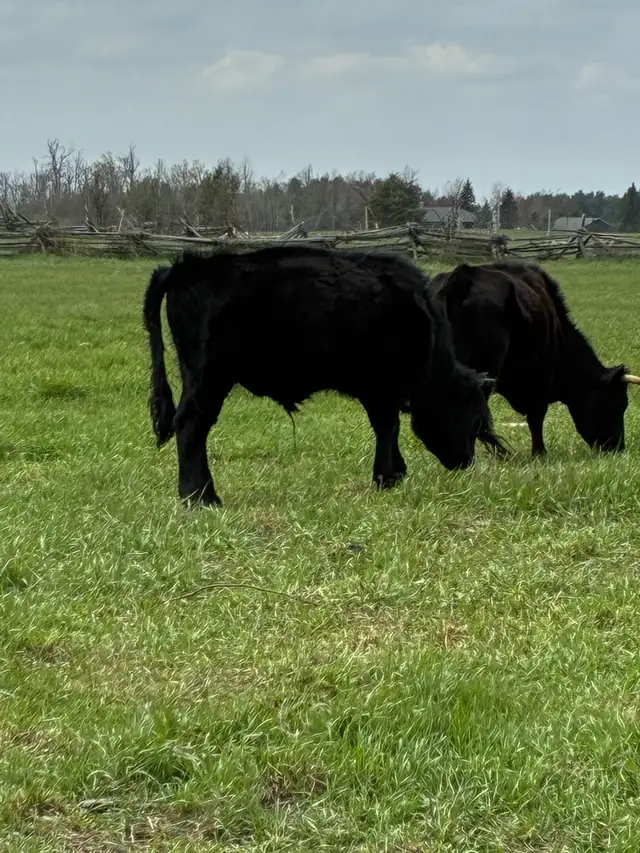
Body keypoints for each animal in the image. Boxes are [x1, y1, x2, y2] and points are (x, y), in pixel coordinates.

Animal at [142, 245, 505, 506]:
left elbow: (388, 427)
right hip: (209, 378)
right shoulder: (380, 387)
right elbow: (387, 427)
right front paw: (389, 476)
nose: (466, 462)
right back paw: (200, 497)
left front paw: (393, 474)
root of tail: (185, 267)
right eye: (473, 418)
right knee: (191, 426)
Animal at [428, 259, 640, 457]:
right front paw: (540, 453)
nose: (617, 448)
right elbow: (536, 417)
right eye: (617, 403)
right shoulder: (540, 381)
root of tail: (461, 277)